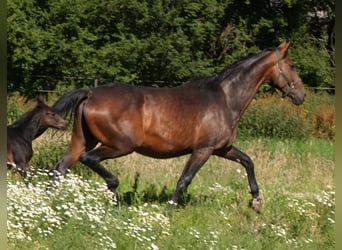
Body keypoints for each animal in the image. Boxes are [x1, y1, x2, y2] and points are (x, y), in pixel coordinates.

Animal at [50, 40, 304, 211]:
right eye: (291, 65)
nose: (302, 95)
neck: (226, 98)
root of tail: (90, 93)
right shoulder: (203, 150)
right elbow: (184, 180)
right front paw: (170, 210)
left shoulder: (222, 149)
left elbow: (248, 161)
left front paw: (256, 200)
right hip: (120, 146)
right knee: (88, 161)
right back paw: (111, 190)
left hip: (82, 140)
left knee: (59, 168)